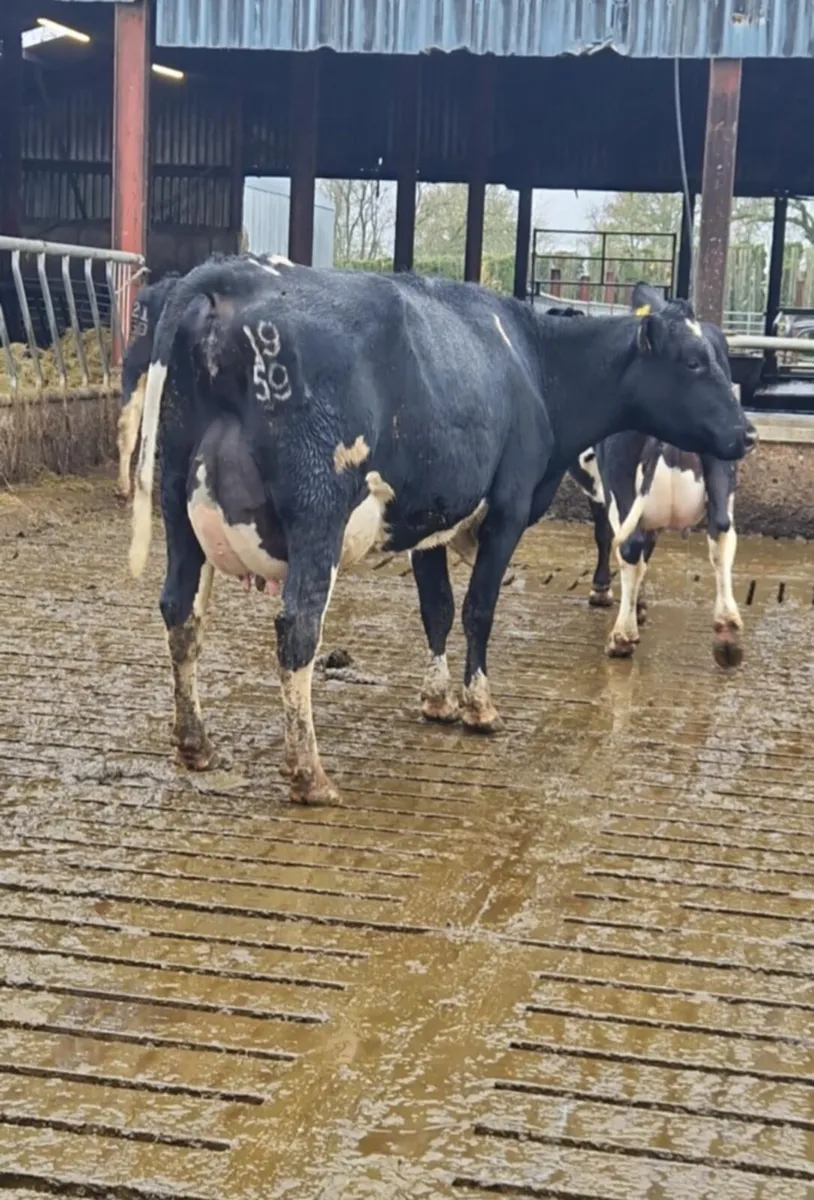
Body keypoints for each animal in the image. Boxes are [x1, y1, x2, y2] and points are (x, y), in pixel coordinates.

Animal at [565, 283, 747, 666]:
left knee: (629, 544)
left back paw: (621, 637)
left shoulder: (602, 488)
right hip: (722, 460)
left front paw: (606, 593)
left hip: (620, 472)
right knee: (721, 530)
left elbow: (609, 537)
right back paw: (727, 632)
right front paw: (638, 605)